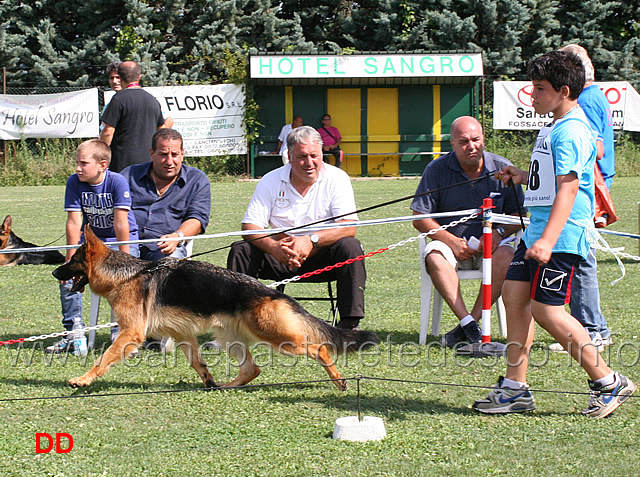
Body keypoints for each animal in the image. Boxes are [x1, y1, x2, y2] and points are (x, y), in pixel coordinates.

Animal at [53, 228, 380, 390]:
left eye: (72, 261)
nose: (55, 271)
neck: (127, 275)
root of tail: (270, 292)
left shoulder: (130, 334)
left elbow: (103, 359)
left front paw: (83, 380)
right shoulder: (183, 335)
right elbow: (198, 363)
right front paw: (207, 381)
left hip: (277, 338)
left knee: (320, 348)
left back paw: (339, 381)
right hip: (230, 339)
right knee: (252, 369)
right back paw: (226, 386)